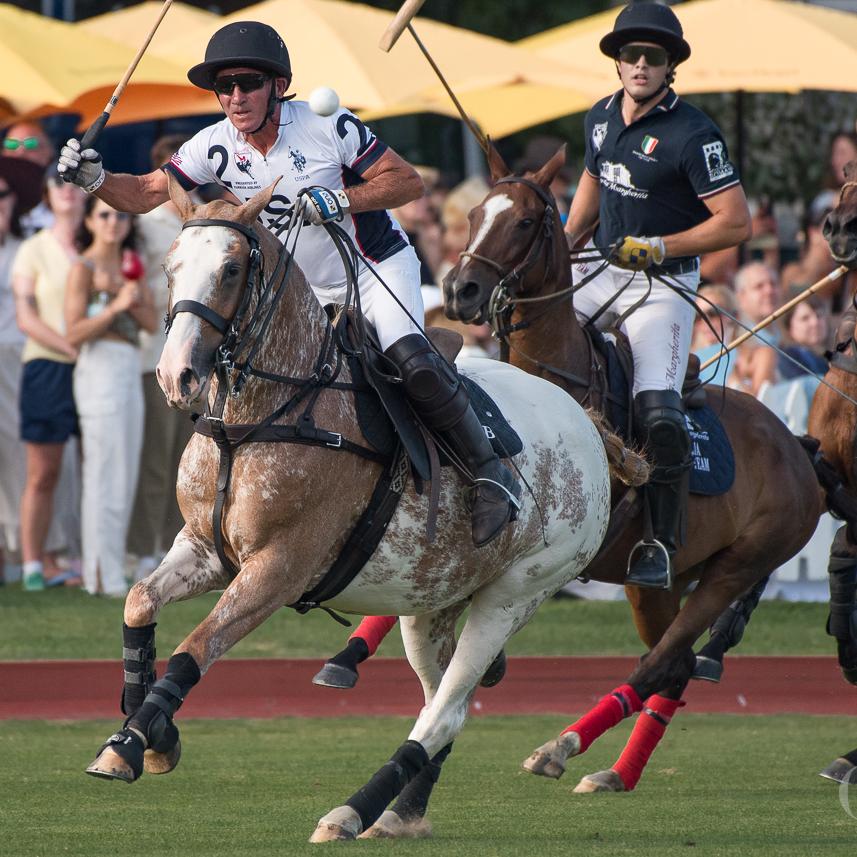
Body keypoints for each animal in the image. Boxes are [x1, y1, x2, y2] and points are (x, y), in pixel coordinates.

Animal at [84, 173, 633, 842]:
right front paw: (155, 737)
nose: (176, 374)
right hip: (432, 599)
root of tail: (588, 423)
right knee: (445, 705)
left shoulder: (281, 565)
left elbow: (195, 647)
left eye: (232, 268)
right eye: (169, 267)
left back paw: (349, 812)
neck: (258, 415)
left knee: (443, 712)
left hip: (517, 593)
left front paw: (128, 746)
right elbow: (139, 601)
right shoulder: (206, 547)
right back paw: (401, 813)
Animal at [438, 145, 826, 797]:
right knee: (675, 667)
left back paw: (560, 747)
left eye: (525, 221)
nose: (461, 291)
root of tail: (798, 447)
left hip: (740, 563)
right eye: (471, 215)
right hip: (659, 586)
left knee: (662, 661)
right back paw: (615, 773)